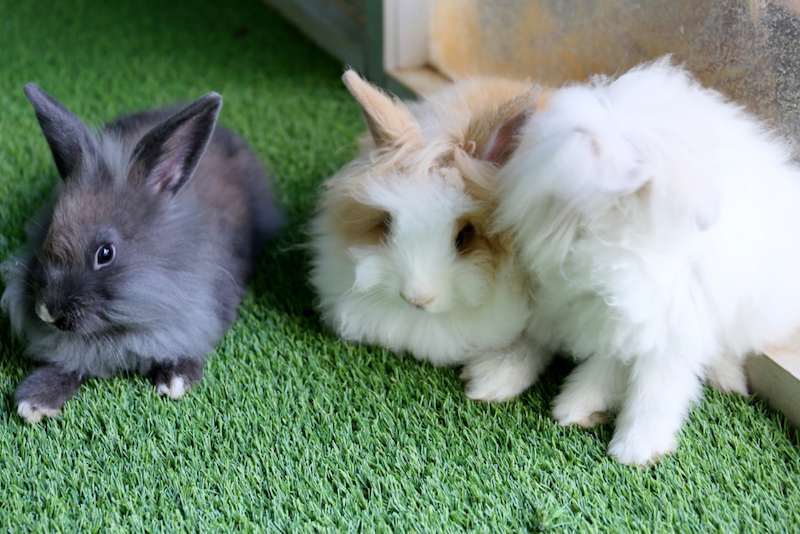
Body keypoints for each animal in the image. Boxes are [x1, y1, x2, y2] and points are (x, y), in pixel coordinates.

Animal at [1, 84, 281, 423]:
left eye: (105, 253)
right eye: (46, 234)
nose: (47, 312)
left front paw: (175, 379)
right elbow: (67, 362)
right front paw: (34, 400)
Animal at [493, 57, 800, 466]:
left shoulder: (668, 325)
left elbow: (656, 387)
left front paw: (636, 450)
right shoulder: (612, 317)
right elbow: (609, 363)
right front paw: (578, 407)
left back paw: (728, 381)